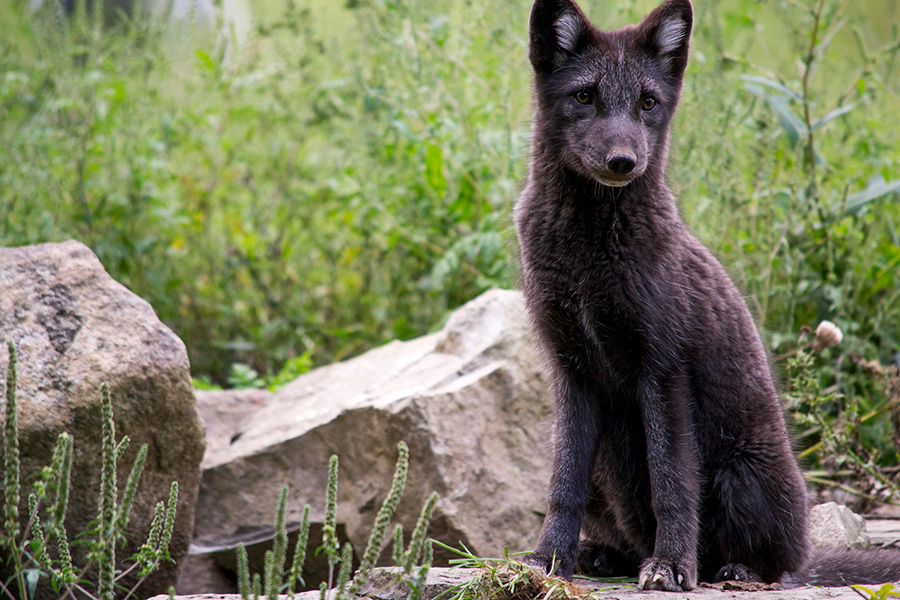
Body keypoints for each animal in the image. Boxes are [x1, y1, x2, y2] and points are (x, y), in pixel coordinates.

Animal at [512, 0, 900, 592]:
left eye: (647, 102)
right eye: (584, 96)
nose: (623, 161)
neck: (587, 261)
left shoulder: (662, 369)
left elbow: (672, 485)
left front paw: (672, 566)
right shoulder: (572, 368)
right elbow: (562, 488)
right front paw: (547, 560)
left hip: (741, 475)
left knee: (775, 563)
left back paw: (733, 570)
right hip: (609, 472)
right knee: (624, 529)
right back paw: (604, 556)